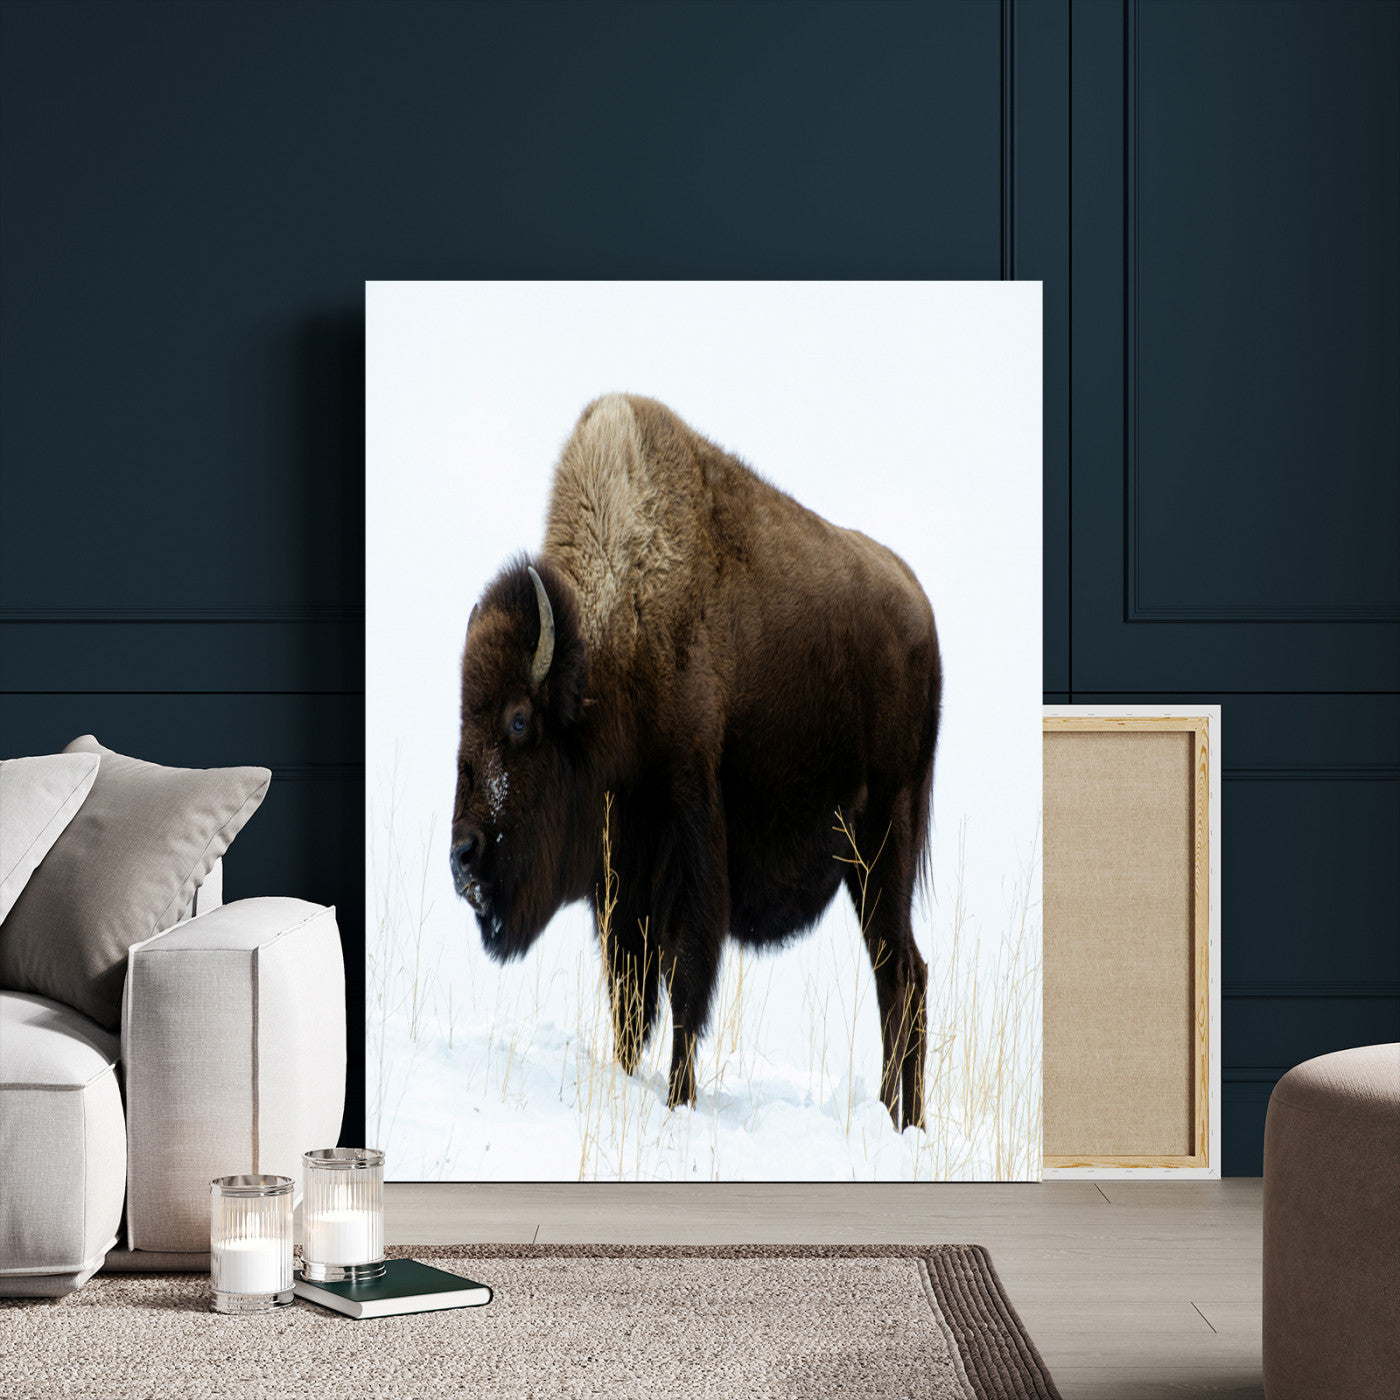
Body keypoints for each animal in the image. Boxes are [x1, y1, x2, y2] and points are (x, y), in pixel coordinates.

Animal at [450, 395, 941, 1129]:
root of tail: (921, 608)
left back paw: (898, 1121)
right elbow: (630, 998)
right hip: (867, 861)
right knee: (904, 974)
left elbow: (686, 984)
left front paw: (679, 1100)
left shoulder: (691, 846)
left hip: (886, 839)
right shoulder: (621, 880)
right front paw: (629, 1080)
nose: (463, 857)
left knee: (899, 974)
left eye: (518, 719)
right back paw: (898, 1118)